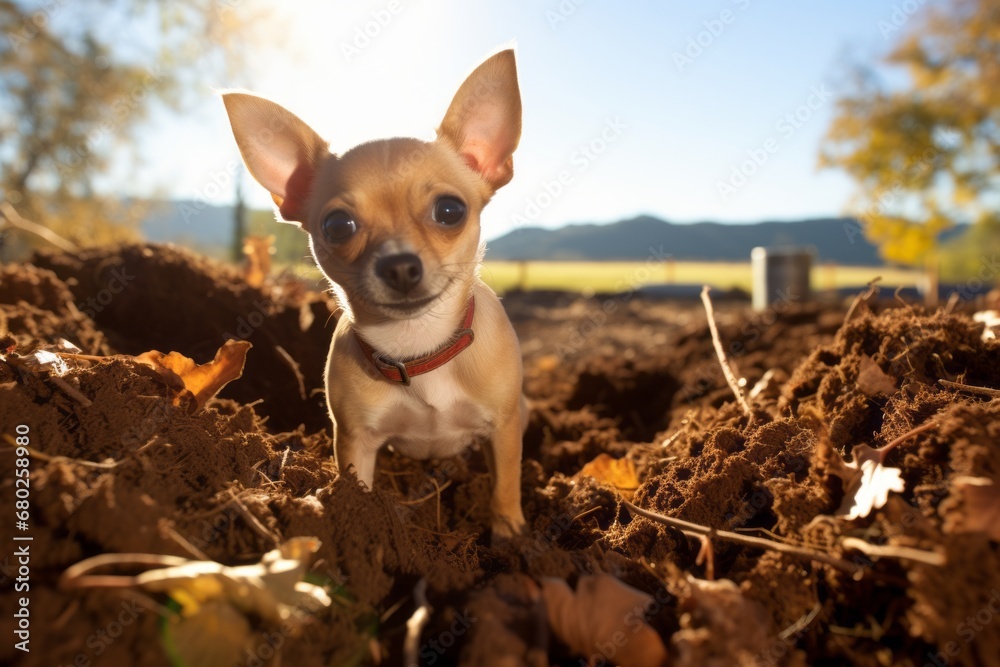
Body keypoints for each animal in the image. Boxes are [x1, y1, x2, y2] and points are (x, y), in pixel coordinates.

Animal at [224, 49, 528, 536]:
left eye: (450, 210)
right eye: (337, 226)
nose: (399, 264)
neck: (419, 348)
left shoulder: (503, 428)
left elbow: (506, 482)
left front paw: (510, 533)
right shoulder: (356, 442)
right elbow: (358, 489)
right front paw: (357, 524)